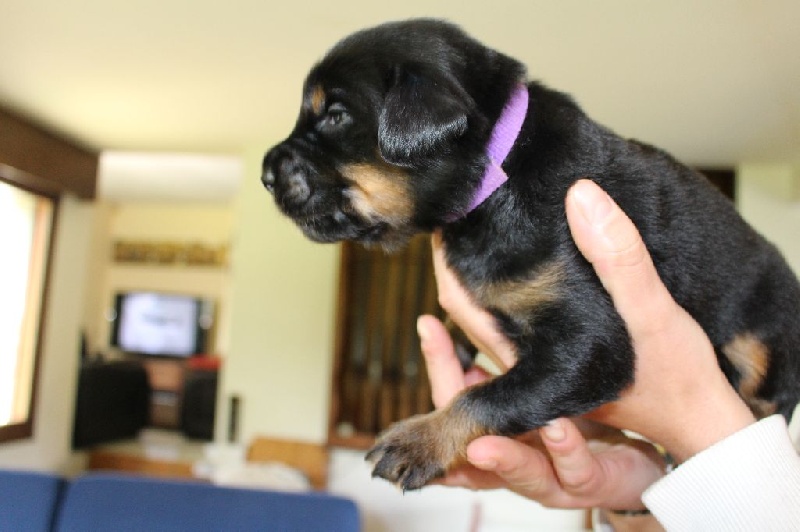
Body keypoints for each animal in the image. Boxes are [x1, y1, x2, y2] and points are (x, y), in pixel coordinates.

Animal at [262, 19, 800, 491]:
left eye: (335, 115)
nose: (266, 173)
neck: (499, 174)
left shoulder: (591, 341)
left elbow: (488, 394)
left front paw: (420, 438)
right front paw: (454, 343)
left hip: (766, 326)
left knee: (771, 393)